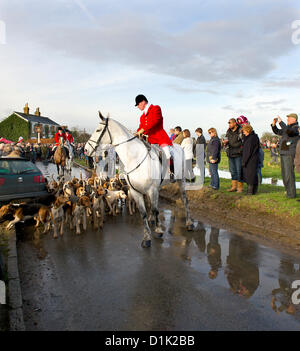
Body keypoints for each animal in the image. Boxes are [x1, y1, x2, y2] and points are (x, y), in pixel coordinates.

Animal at [84, 112, 195, 248]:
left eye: (98, 130)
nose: (85, 149)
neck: (134, 158)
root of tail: (179, 147)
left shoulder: (152, 189)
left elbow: (155, 209)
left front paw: (158, 230)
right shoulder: (136, 192)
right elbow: (143, 213)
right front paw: (147, 237)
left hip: (181, 181)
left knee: (185, 200)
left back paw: (189, 223)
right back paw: (153, 220)